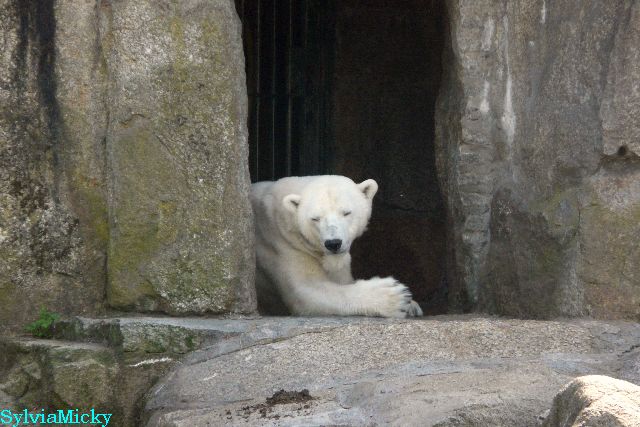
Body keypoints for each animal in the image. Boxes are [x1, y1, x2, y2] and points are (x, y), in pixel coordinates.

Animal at [250, 175, 423, 318]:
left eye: (346, 212)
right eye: (315, 218)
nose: (333, 243)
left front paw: (412, 306)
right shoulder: (281, 243)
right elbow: (305, 290)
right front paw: (397, 297)